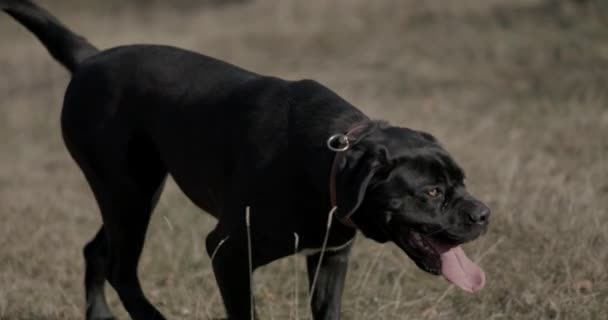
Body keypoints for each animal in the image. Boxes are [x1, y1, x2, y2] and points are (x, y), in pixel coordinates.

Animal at [1, 1, 490, 318]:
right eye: (432, 192)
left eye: (463, 181)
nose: (484, 213)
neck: (328, 164)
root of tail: (90, 58)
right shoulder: (229, 252)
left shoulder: (330, 259)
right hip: (128, 192)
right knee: (123, 270)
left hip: (134, 193)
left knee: (96, 252)